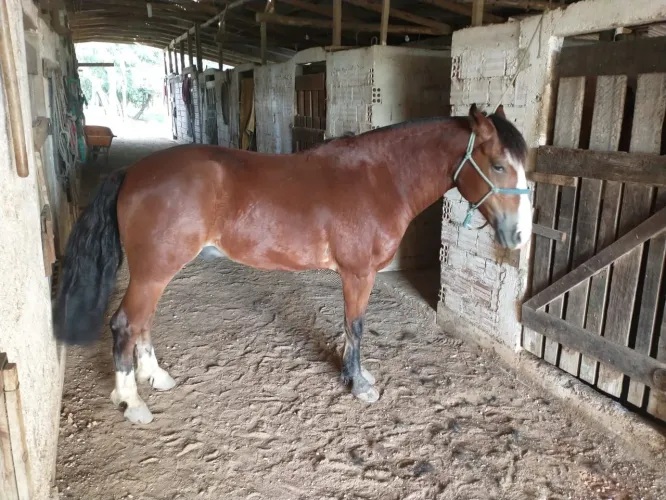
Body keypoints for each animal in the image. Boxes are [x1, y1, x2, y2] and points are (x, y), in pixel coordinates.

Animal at [54, 104, 532, 424]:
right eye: (498, 165)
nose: (519, 236)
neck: (380, 179)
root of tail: (133, 173)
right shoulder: (358, 274)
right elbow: (355, 325)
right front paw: (358, 385)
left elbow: (351, 326)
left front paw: (356, 374)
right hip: (153, 273)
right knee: (125, 325)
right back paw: (133, 403)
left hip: (155, 274)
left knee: (142, 325)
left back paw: (157, 378)